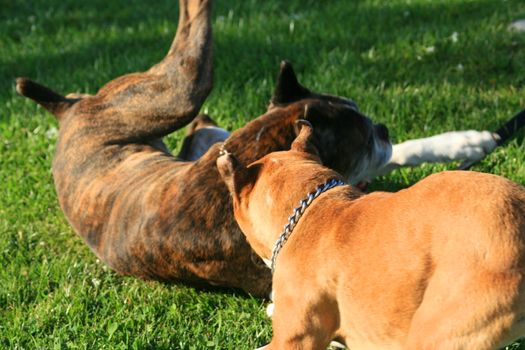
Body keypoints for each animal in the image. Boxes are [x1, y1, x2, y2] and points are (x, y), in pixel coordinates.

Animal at [16, 0, 388, 296]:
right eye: (366, 139)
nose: (383, 128)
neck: (260, 153)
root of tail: (66, 112)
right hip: (173, 94)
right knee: (193, 46)